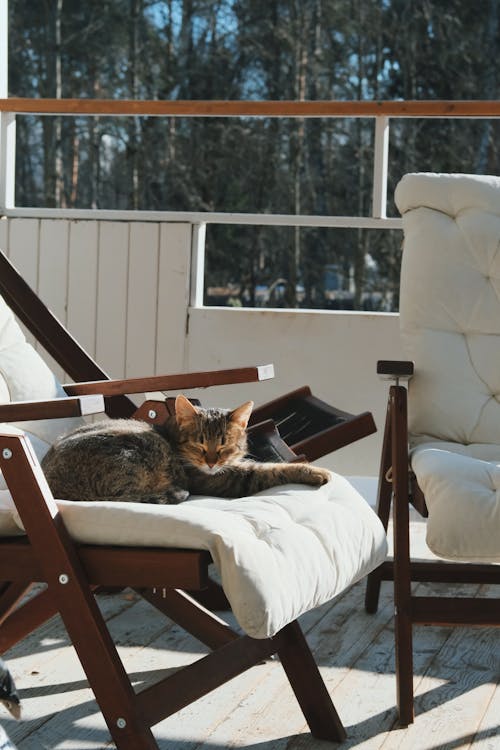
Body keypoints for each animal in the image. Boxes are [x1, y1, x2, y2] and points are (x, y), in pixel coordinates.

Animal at [42, 394, 332, 506]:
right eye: (199, 443)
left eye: (224, 444)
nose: (212, 462)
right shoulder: (231, 479)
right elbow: (273, 470)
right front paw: (316, 472)